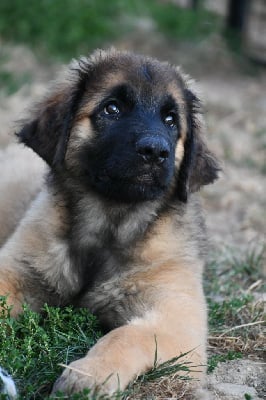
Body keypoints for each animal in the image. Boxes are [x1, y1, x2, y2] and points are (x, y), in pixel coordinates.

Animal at [0, 48, 219, 396]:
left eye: (171, 120)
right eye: (112, 108)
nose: (154, 151)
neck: (107, 225)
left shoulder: (176, 320)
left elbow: (127, 335)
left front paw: (90, 374)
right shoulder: (17, 271)